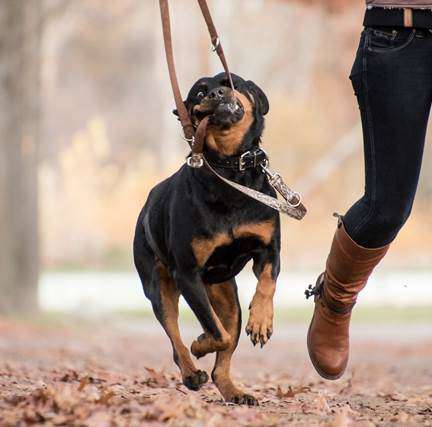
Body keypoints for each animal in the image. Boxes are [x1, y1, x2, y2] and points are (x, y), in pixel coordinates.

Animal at [134, 72, 280, 406]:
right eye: (199, 93)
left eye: (231, 82)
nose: (215, 93)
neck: (228, 169)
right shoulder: (187, 273)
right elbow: (216, 332)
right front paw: (201, 343)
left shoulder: (269, 248)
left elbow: (267, 282)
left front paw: (261, 321)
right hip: (158, 285)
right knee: (176, 334)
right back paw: (191, 372)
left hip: (226, 295)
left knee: (222, 356)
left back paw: (234, 392)